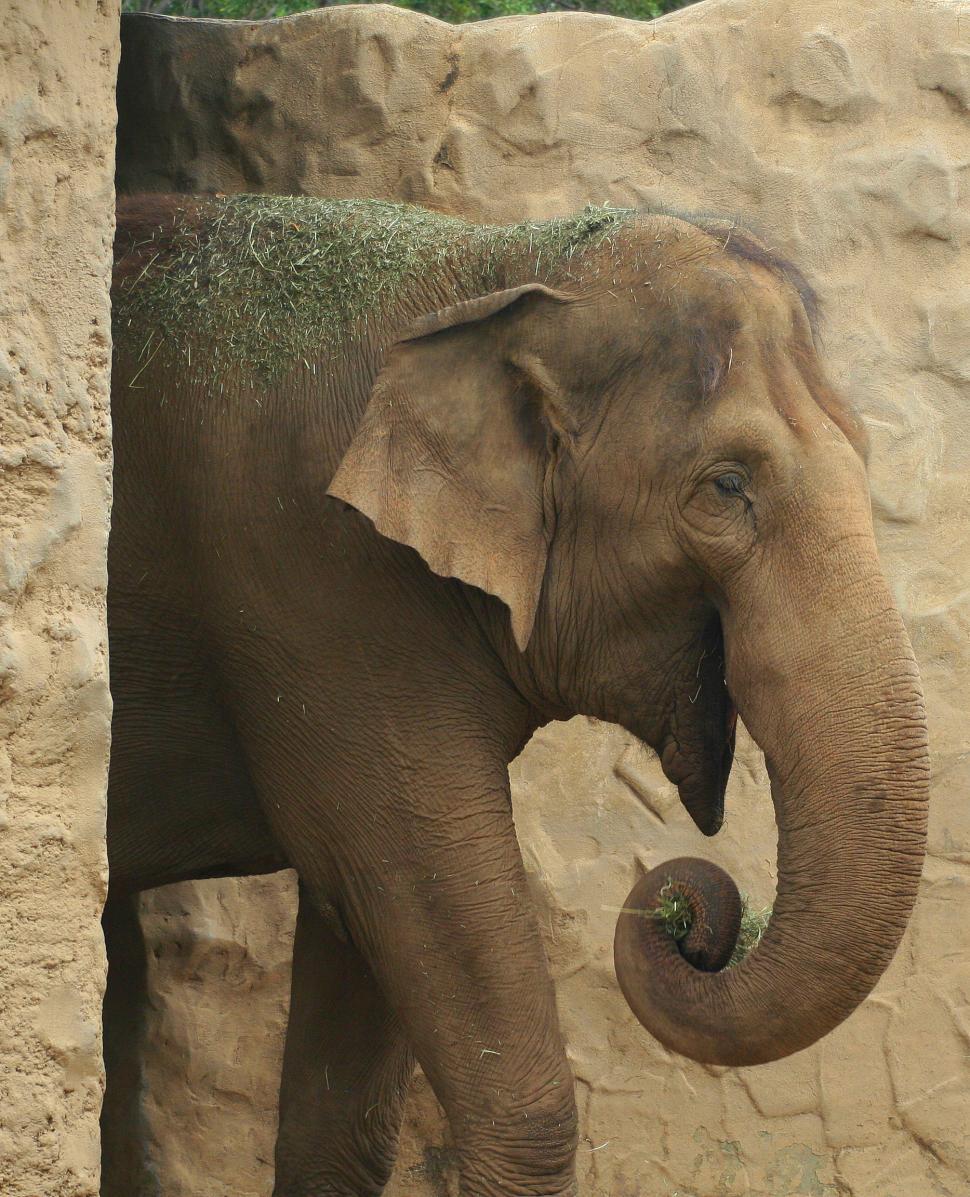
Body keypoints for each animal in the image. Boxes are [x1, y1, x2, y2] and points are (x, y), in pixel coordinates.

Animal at [102, 192, 929, 1197]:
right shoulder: (317, 590)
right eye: (727, 485)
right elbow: (410, 893)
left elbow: (355, 1001)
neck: (497, 269)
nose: (685, 914)